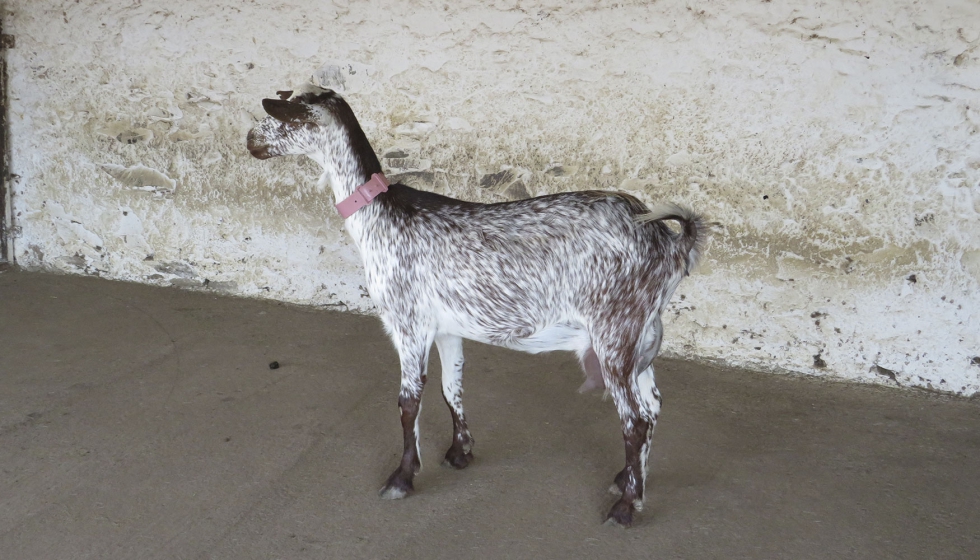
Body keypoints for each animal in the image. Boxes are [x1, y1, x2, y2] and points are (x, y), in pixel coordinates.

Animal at [246, 87, 705, 527]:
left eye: (282, 117)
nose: (250, 139)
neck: (382, 217)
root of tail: (671, 243)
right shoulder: (447, 328)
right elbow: (452, 386)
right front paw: (459, 452)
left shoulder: (408, 322)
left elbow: (408, 401)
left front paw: (402, 477)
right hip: (642, 334)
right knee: (653, 405)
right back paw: (629, 481)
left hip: (614, 329)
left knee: (635, 419)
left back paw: (626, 507)